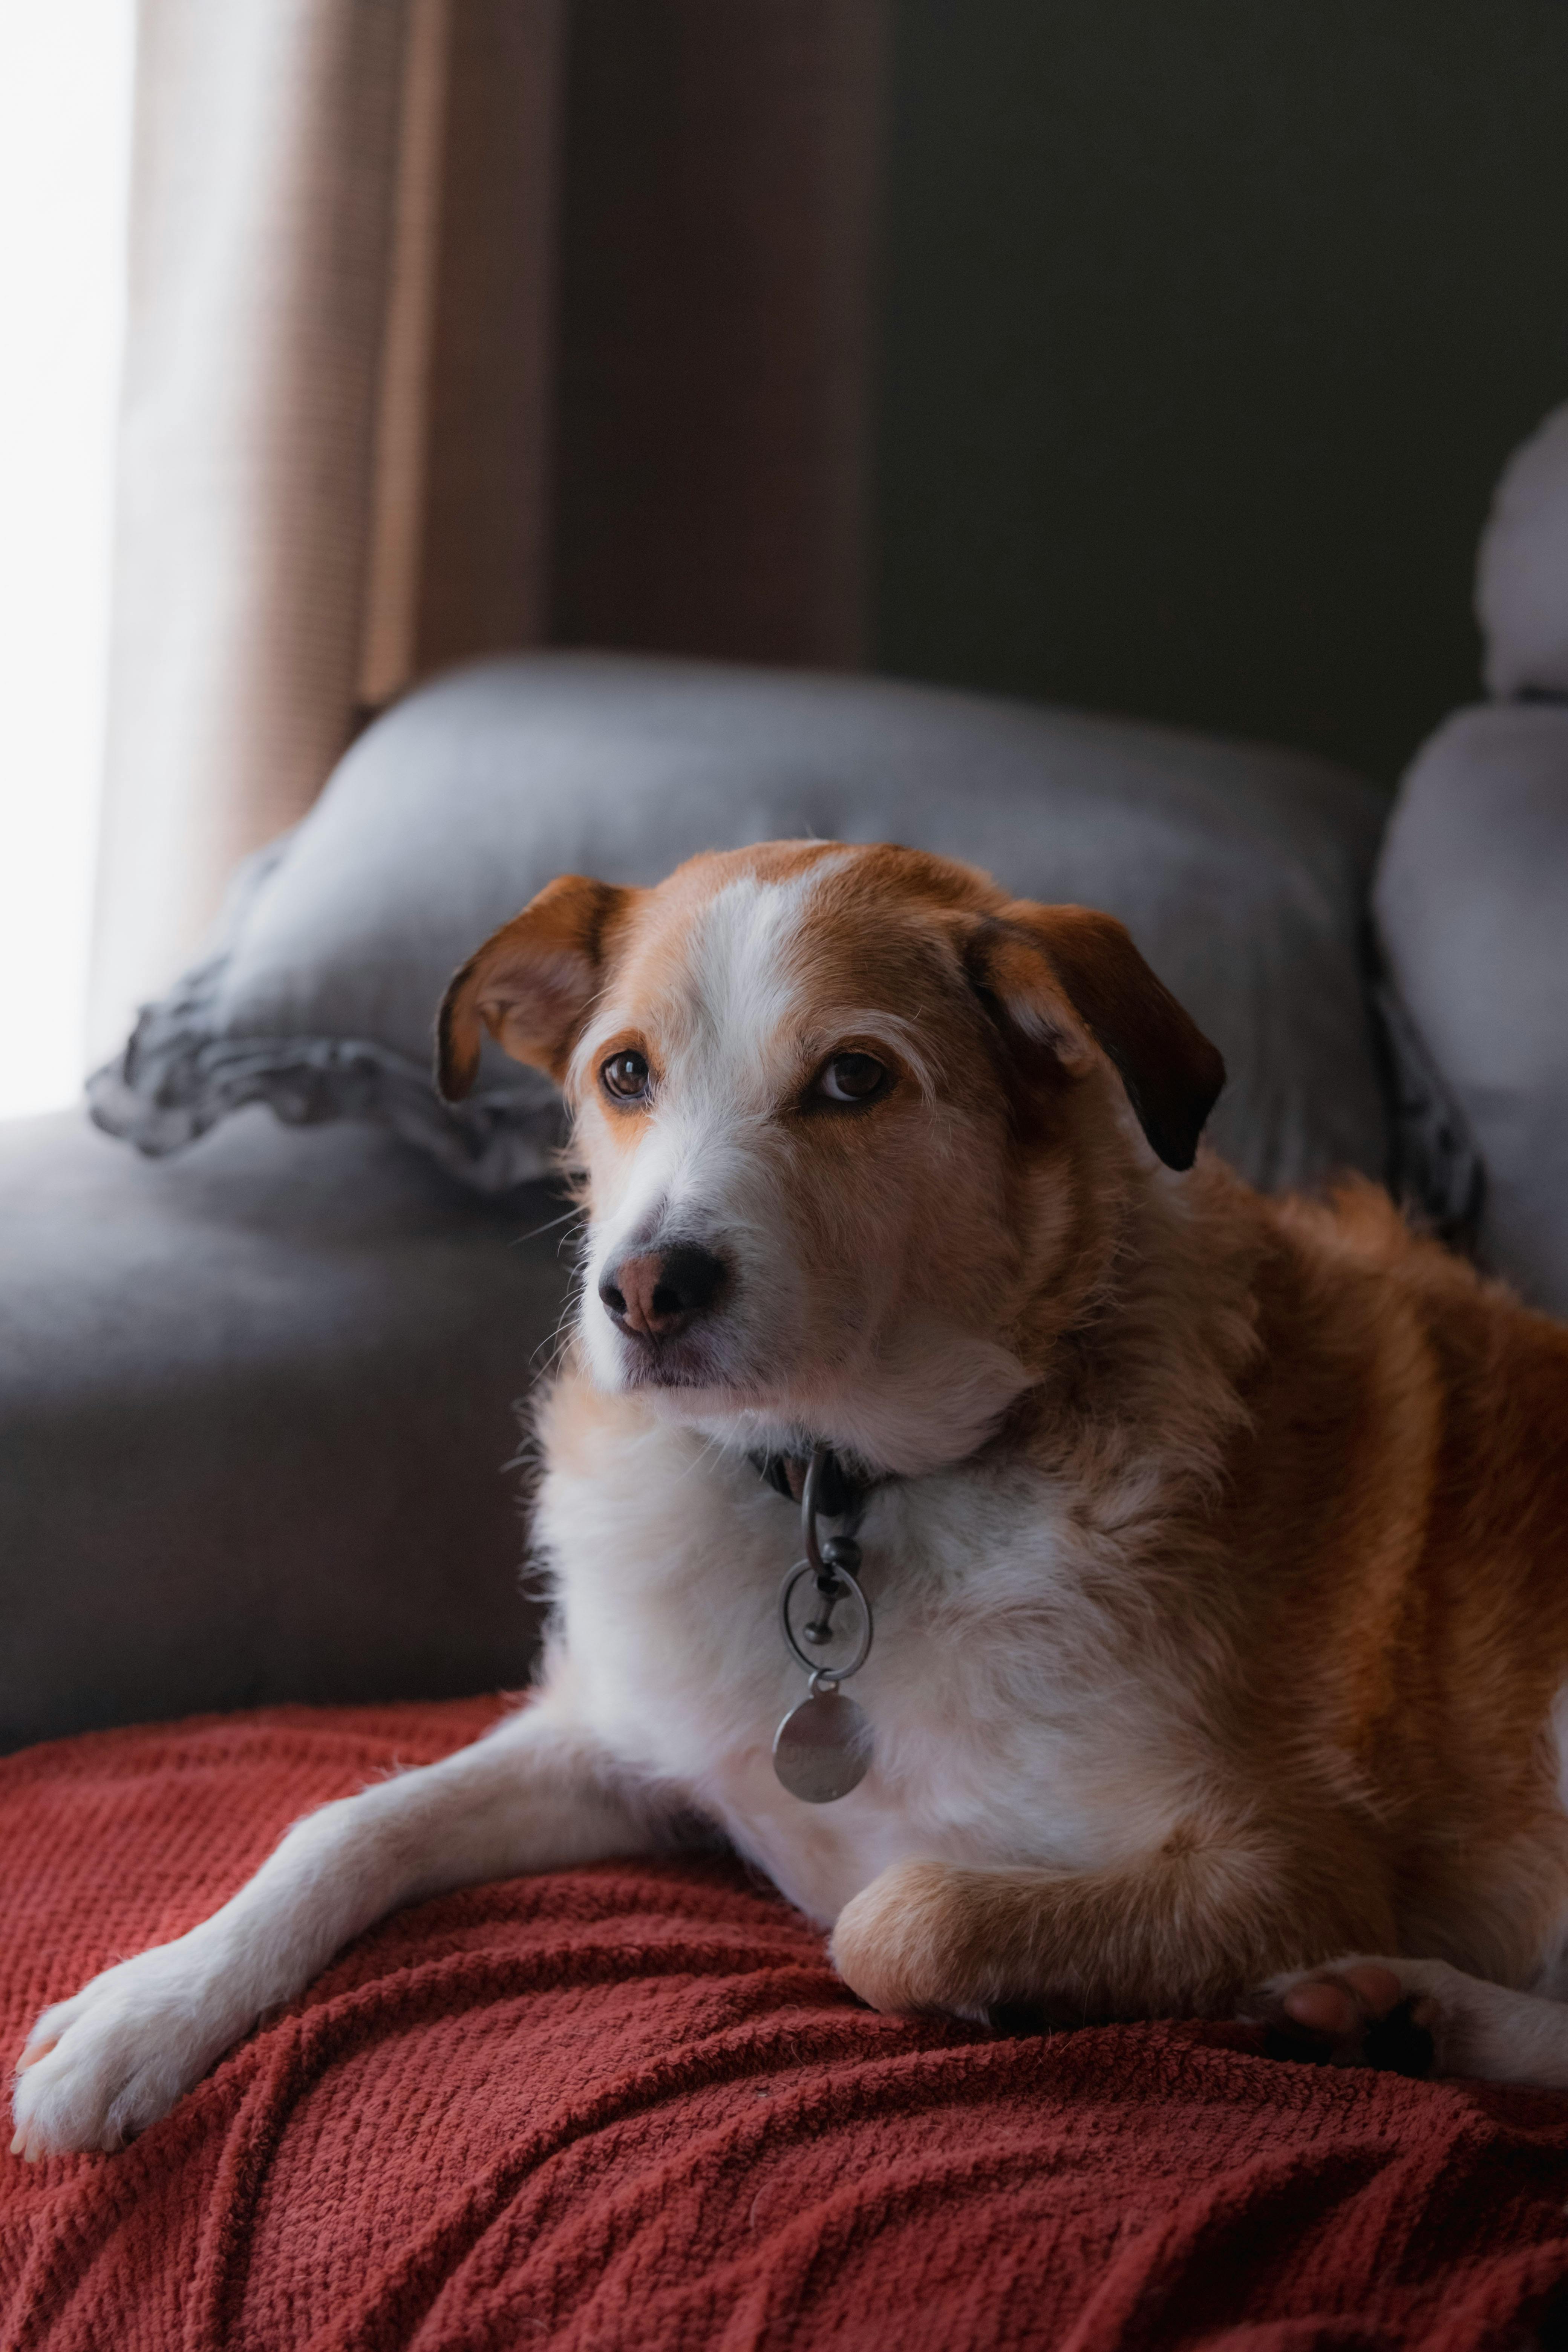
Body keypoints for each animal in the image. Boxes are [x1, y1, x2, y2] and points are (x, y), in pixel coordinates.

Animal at [9, 837, 1568, 2154]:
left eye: (854, 1081)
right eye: (624, 1073)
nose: (643, 1291)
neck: (837, 1493)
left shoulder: (1289, 1865)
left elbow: (898, 1915)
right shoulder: (616, 1738)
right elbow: (346, 1824)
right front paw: (146, 2010)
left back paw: (1419, 2015)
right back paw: (1400, 2017)